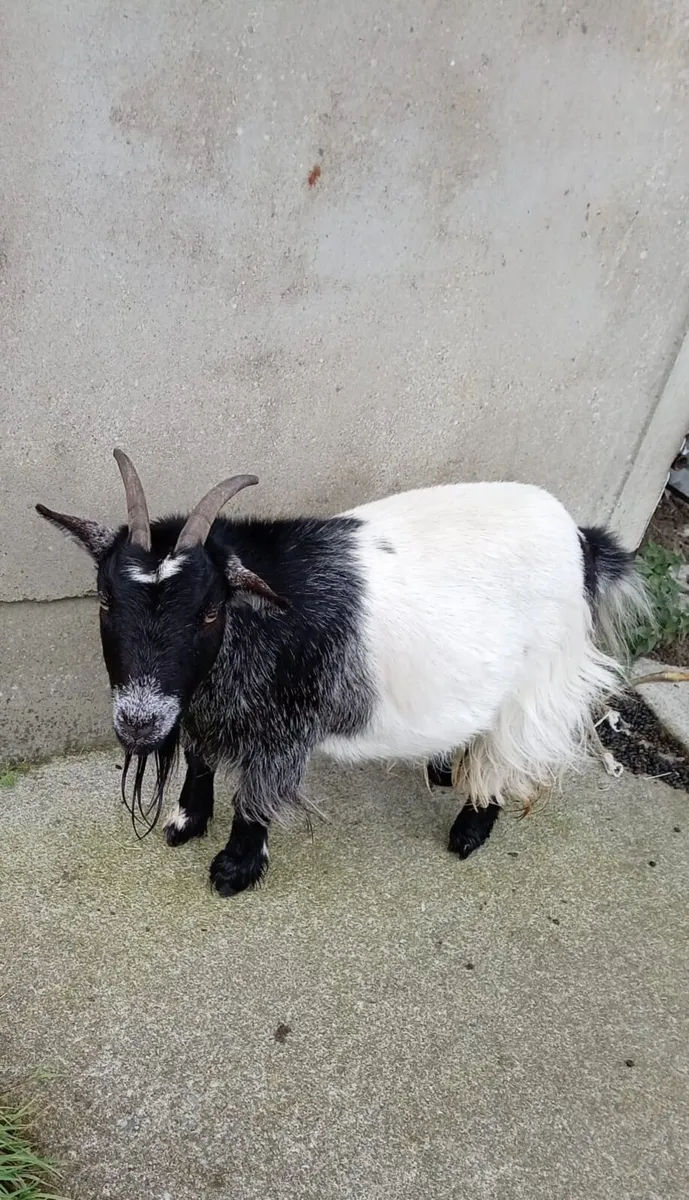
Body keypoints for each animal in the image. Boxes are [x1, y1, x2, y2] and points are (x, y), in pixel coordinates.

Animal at [37, 450, 648, 897]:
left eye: (209, 611)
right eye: (105, 600)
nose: (138, 725)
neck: (253, 627)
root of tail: (582, 539)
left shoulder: (284, 726)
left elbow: (253, 796)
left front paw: (234, 868)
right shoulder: (203, 705)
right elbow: (199, 754)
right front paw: (186, 822)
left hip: (538, 678)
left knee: (509, 752)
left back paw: (471, 826)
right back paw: (444, 768)